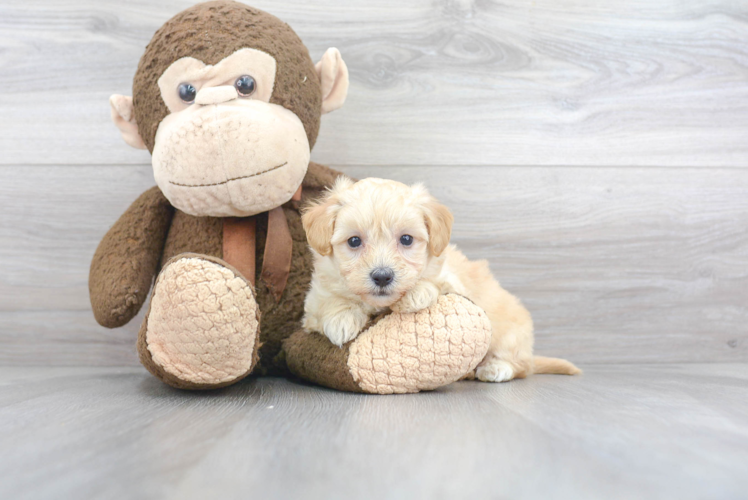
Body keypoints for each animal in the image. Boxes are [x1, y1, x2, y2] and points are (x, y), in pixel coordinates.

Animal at [300, 178, 580, 380]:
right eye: (354, 241)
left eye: (406, 239)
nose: (382, 276)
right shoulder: (314, 301)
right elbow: (329, 301)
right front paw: (342, 319)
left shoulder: (454, 281)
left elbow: (435, 282)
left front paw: (415, 294)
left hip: (511, 335)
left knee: (521, 365)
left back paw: (496, 368)